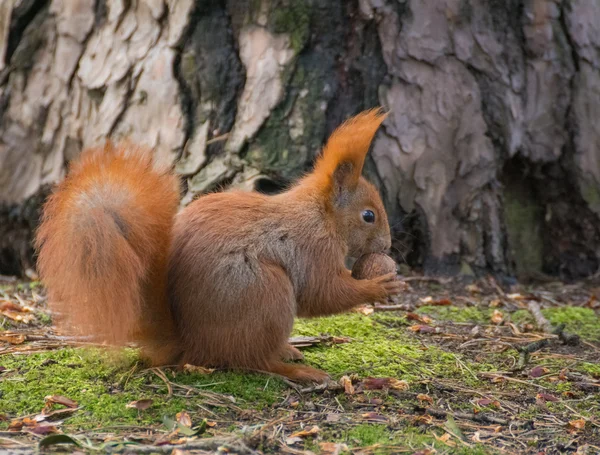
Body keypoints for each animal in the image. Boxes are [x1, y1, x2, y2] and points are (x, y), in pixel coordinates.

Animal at [37, 108, 404, 382]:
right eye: (369, 215)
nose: (387, 246)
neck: (321, 214)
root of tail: (190, 343)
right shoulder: (313, 247)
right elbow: (323, 293)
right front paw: (380, 285)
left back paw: (288, 351)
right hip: (266, 293)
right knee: (252, 360)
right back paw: (296, 369)